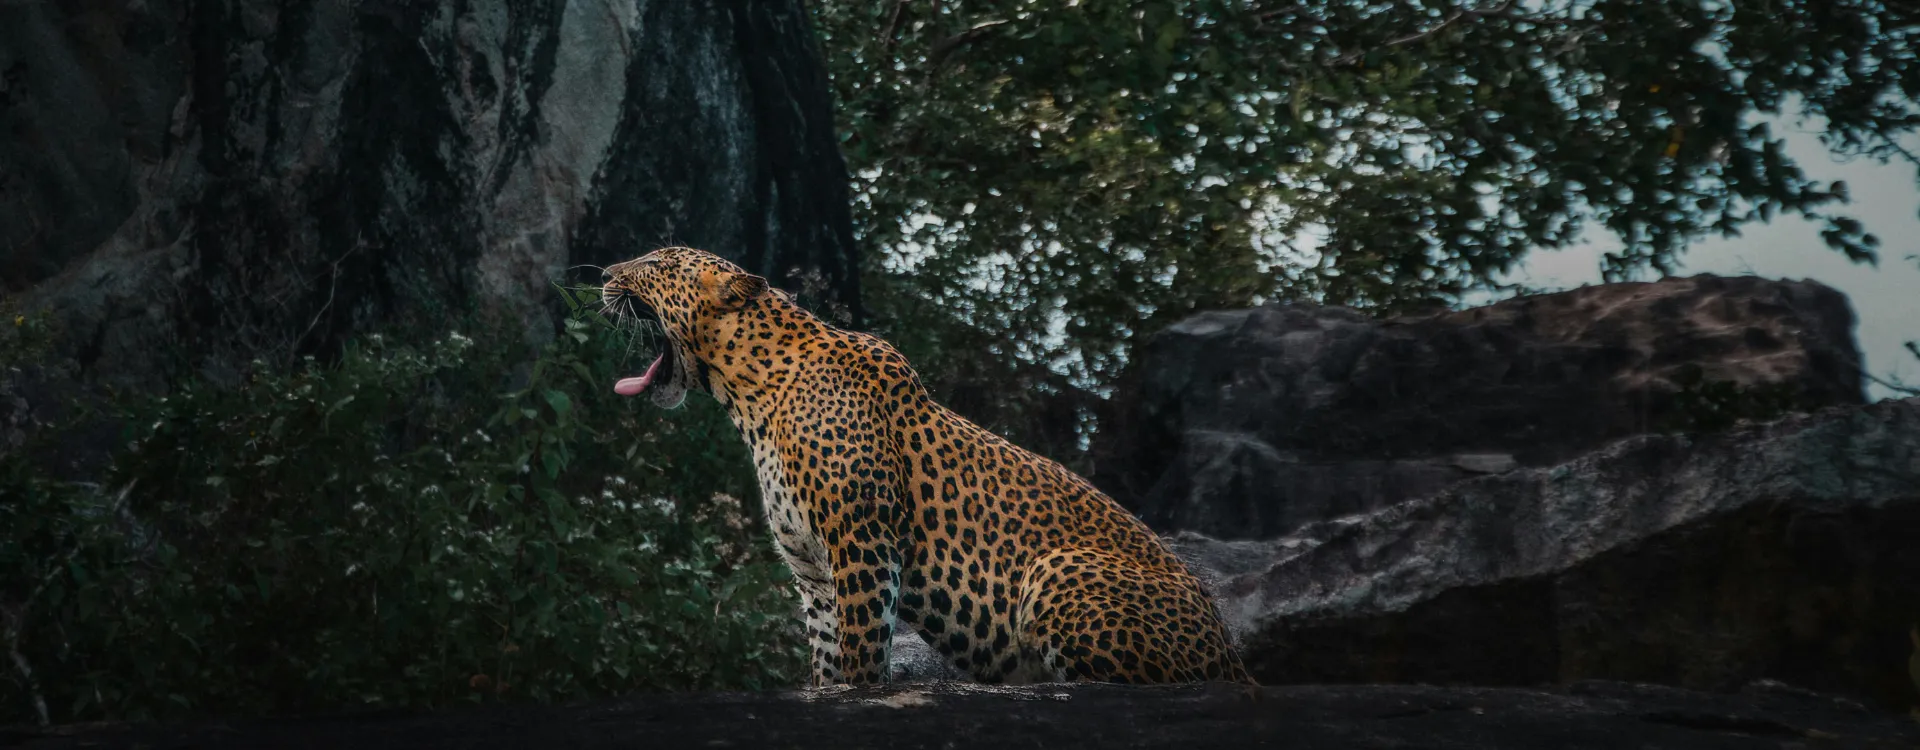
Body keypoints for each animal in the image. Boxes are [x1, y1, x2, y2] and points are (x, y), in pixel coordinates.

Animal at [601, 246, 1253, 686]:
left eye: (655, 263)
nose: (604, 274)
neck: (750, 396)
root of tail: (1232, 655)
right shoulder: (813, 571)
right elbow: (827, 658)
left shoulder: (861, 541)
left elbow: (863, 651)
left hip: (1056, 569)